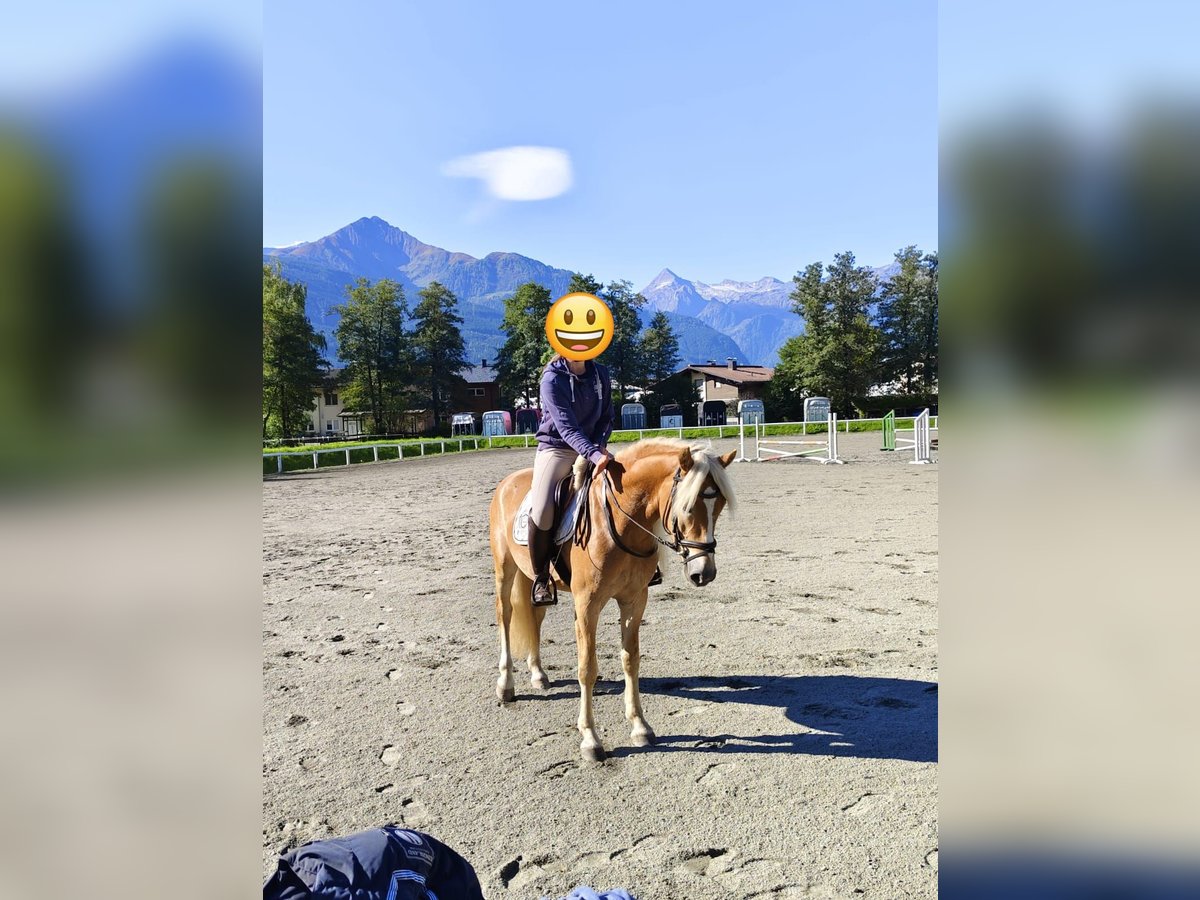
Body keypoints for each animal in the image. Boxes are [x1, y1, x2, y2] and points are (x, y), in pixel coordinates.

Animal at [488, 440, 737, 761]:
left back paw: (539, 675)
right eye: (687, 506)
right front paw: (590, 739)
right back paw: (506, 686)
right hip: (504, 569)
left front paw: (640, 727)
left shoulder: (635, 600)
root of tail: (507, 482)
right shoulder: (587, 606)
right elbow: (587, 669)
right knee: (505, 616)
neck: (619, 522)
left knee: (534, 617)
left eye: (719, 506)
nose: (703, 573)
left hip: (534, 580)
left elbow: (631, 660)